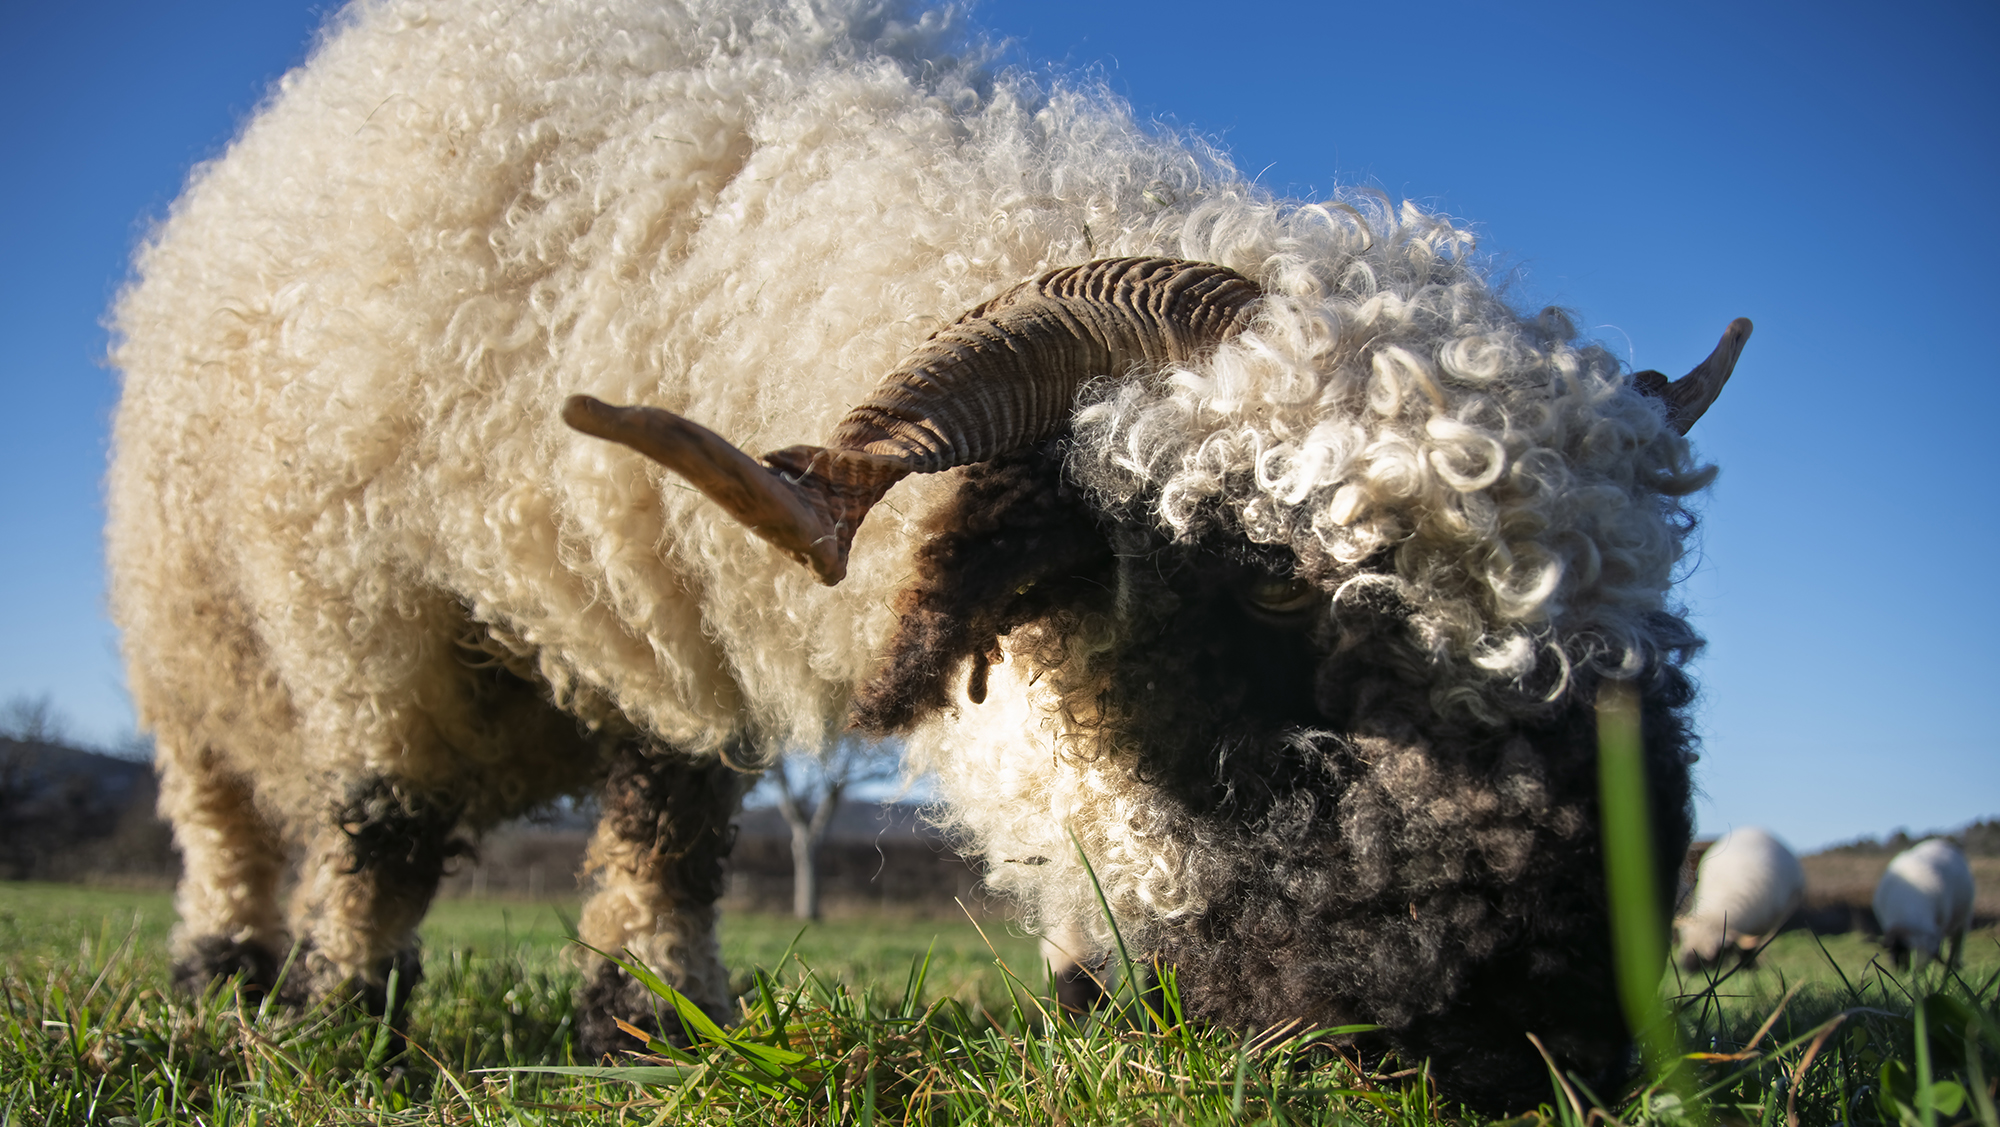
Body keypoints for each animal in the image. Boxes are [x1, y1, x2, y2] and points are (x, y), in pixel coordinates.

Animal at [105, 0, 1752, 1111]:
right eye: (1277, 576)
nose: (1551, 1043)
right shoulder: (358, 609)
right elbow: (376, 826)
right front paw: (344, 1020)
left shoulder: (662, 633)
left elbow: (664, 831)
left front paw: (644, 1019)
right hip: (191, 653)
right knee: (231, 818)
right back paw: (229, 970)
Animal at [1672, 823, 1816, 971]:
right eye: (1684, 939)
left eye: (1716, 952)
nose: (1688, 968)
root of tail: (1756, 829)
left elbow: (1750, 948)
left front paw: (1749, 967)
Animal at [1864, 835, 1976, 967]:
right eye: (1896, 952)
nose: (1906, 971)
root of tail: (1939, 842)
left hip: (1964, 918)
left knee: (1957, 941)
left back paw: (1955, 964)